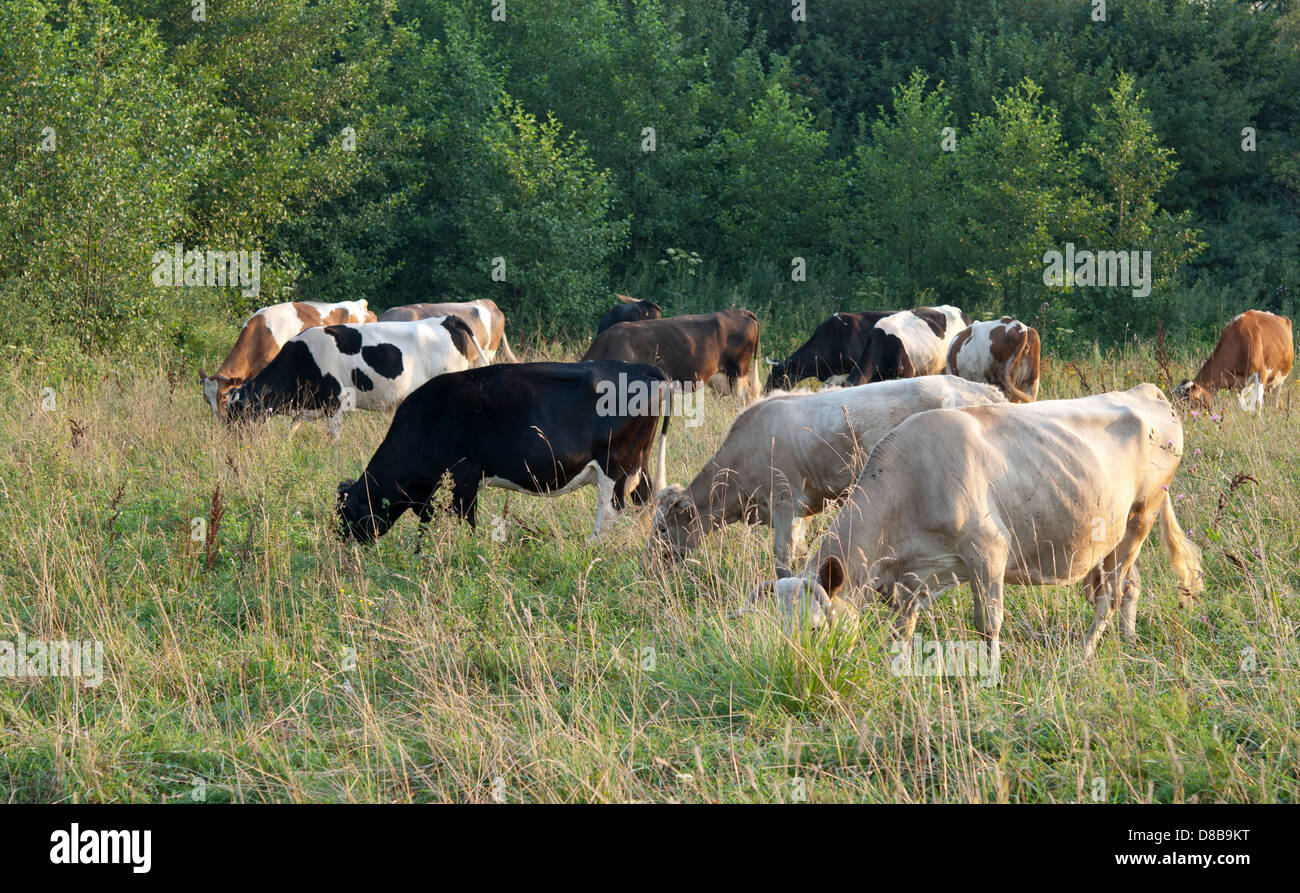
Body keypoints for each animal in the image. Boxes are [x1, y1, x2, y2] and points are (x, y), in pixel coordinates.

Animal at [225, 315, 487, 437]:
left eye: (237, 414)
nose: (231, 441)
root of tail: (447, 319)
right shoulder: (307, 406)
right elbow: (291, 430)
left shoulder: (336, 402)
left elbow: (333, 436)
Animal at [335, 361, 669, 542]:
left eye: (346, 515)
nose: (341, 544)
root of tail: (638, 367)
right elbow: (427, 522)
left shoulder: (465, 476)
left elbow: (466, 520)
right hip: (638, 463)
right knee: (645, 501)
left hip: (615, 464)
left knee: (611, 510)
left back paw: (591, 547)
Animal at [649, 376, 1006, 570]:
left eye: (663, 529)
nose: (650, 566)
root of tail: (985, 390)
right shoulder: (800, 512)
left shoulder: (785, 503)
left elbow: (782, 555)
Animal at [749, 384, 1203, 661]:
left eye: (814, 629)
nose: (801, 670)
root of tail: (1145, 391)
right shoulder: (915, 575)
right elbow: (903, 626)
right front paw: (897, 665)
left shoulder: (988, 552)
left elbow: (988, 624)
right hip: (1113, 531)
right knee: (1129, 584)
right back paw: (1127, 640)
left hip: (1142, 515)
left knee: (1109, 592)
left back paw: (1086, 650)